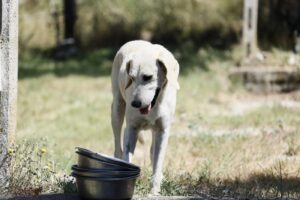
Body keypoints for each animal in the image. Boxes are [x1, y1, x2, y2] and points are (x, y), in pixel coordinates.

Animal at [110, 39, 179, 195]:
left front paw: (154, 190)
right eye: (131, 77)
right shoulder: (131, 128)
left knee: (152, 152)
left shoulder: (162, 131)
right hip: (117, 109)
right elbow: (127, 155)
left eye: (147, 77)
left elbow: (157, 161)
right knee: (118, 146)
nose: (135, 103)